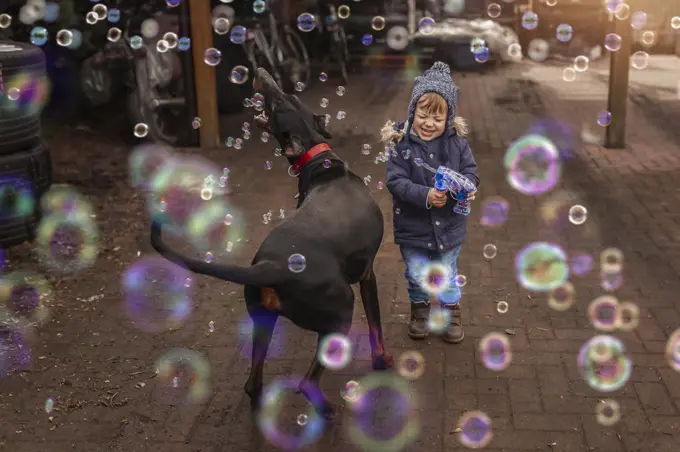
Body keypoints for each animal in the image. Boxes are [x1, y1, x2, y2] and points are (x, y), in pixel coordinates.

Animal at [151, 68, 390, 420]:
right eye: (279, 101)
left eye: (288, 97)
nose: (261, 72)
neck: (322, 164)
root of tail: (270, 266)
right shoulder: (368, 275)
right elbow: (376, 325)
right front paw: (381, 360)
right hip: (342, 307)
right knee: (306, 381)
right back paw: (325, 408)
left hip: (262, 318)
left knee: (253, 382)